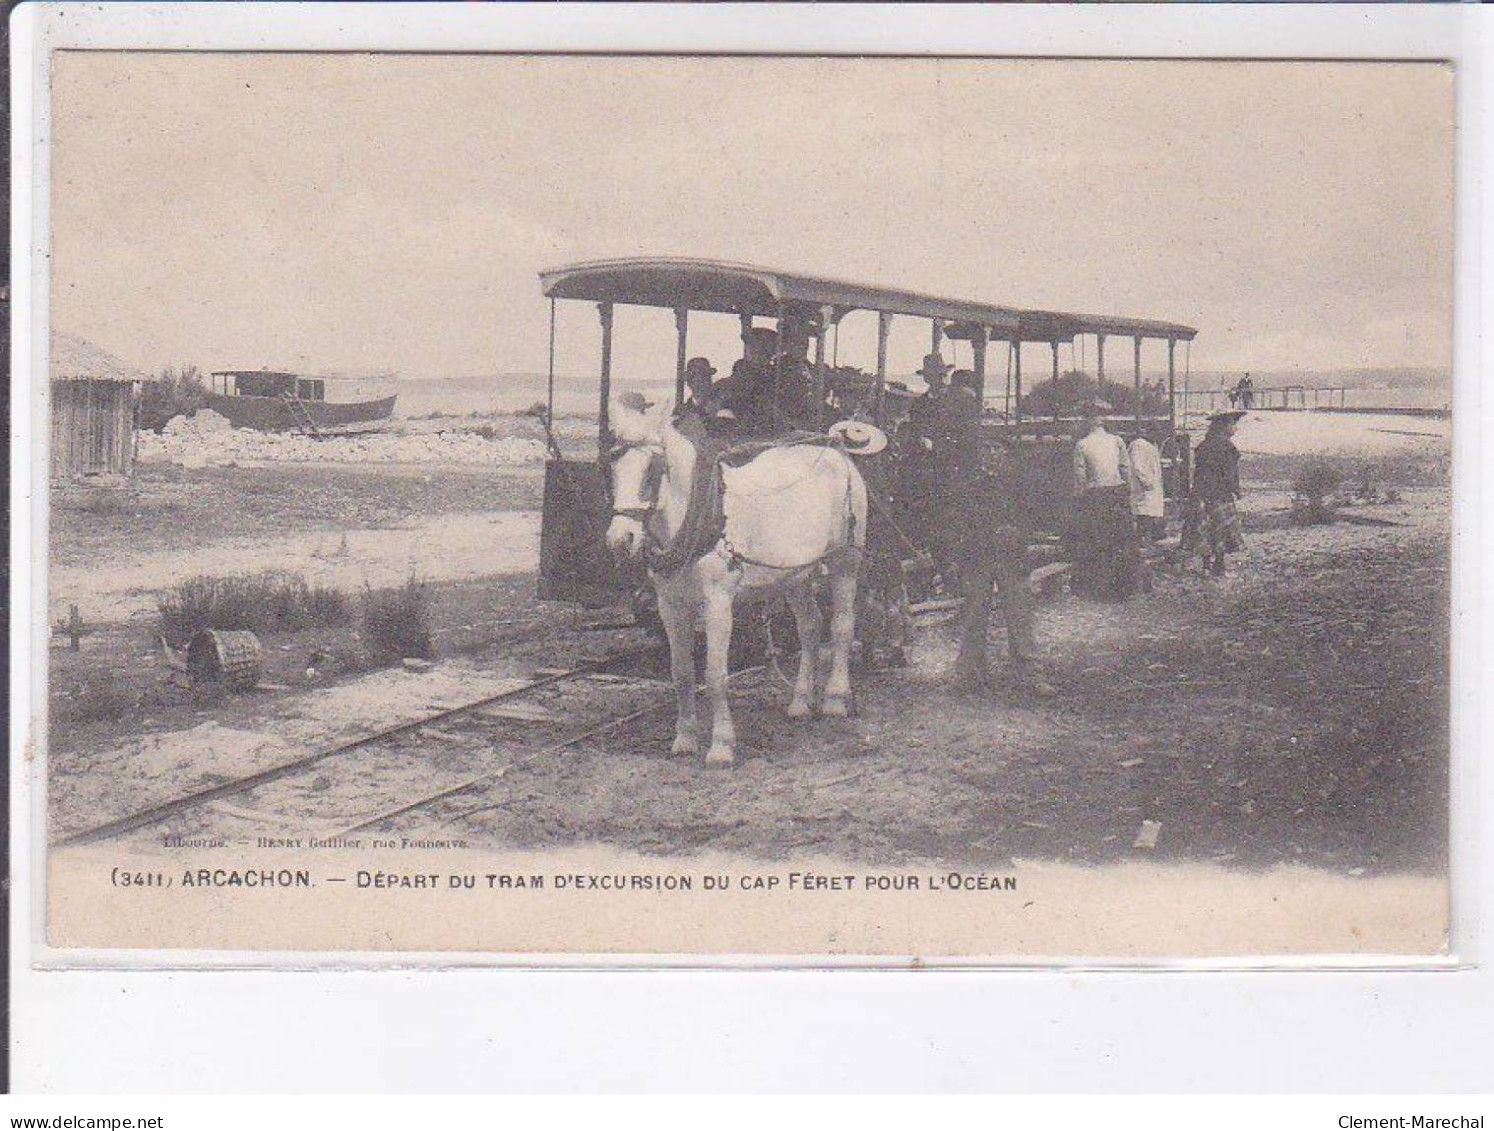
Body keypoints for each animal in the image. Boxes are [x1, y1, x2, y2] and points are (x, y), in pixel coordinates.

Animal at [603, 397, 872, 764]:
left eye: (653, 467)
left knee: (842, 625)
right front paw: (685, 739)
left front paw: (721, 746)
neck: (699, 515)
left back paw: (834, 699)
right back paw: (801, 702)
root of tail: (835, 452)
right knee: (810, 626)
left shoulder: (718, 604)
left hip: (845, 562)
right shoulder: (670, 606)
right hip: (794, 574)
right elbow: (682, 673)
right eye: (613, 462)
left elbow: (715, 676)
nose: (620, 539)